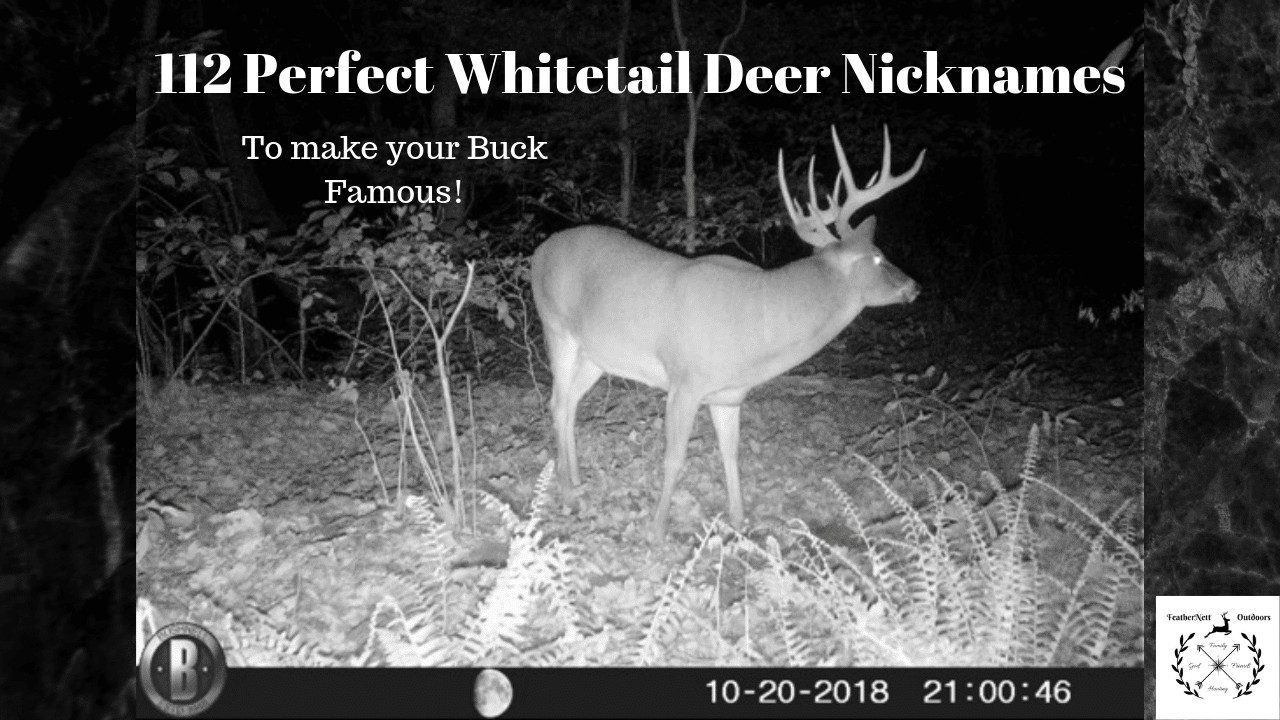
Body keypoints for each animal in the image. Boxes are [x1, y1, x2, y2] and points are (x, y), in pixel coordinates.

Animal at [530, 125, 926, 540]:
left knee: (572, 403)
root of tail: (539, 252)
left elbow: (731, 454)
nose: (914, 286)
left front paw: (739, 523)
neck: (759, 328)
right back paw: (568, 495)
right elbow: (674, 458)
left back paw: (576, 482)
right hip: (556, 327)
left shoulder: (729, 396)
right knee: (558, 403)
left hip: (597, 354)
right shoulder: (685, 381)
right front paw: (657, 530)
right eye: (878, 257)